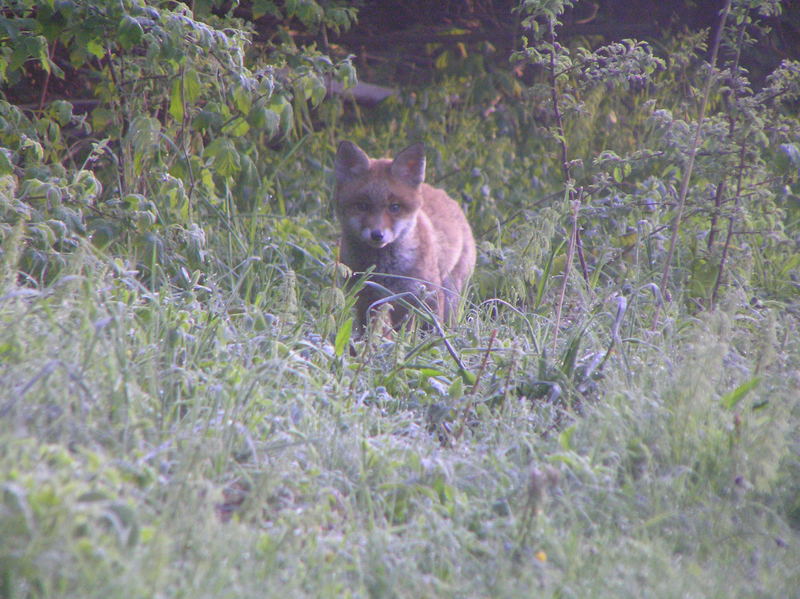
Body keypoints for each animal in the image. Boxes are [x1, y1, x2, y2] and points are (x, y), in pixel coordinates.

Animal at [332, 142, 476, 332]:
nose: (377, 235)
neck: (384, 270)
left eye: (394, 207)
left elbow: (429, 331)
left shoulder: (425, 294)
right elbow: (369, 331)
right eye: (362, 206)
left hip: (449, 294)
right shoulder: (367, 297)